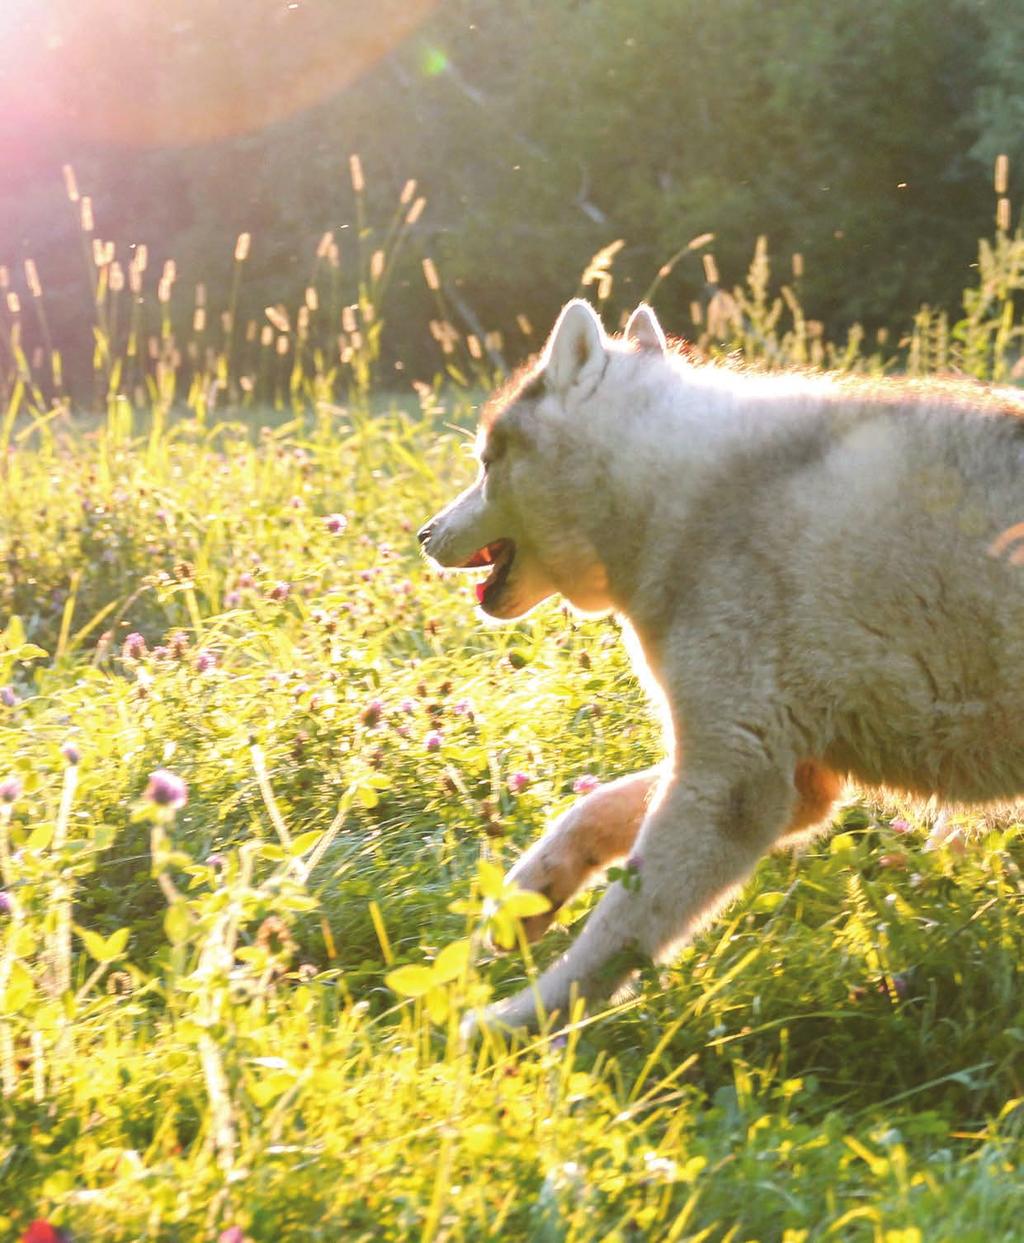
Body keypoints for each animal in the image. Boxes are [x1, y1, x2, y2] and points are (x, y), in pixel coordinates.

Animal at [420, 298, 1024, 1029]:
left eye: (486, 462)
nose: (422, 534)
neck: (676, 496)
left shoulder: (733, 782)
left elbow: (618, 931)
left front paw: (524, 1021)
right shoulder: (789, 773)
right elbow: (591, 811)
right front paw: (528, 898)